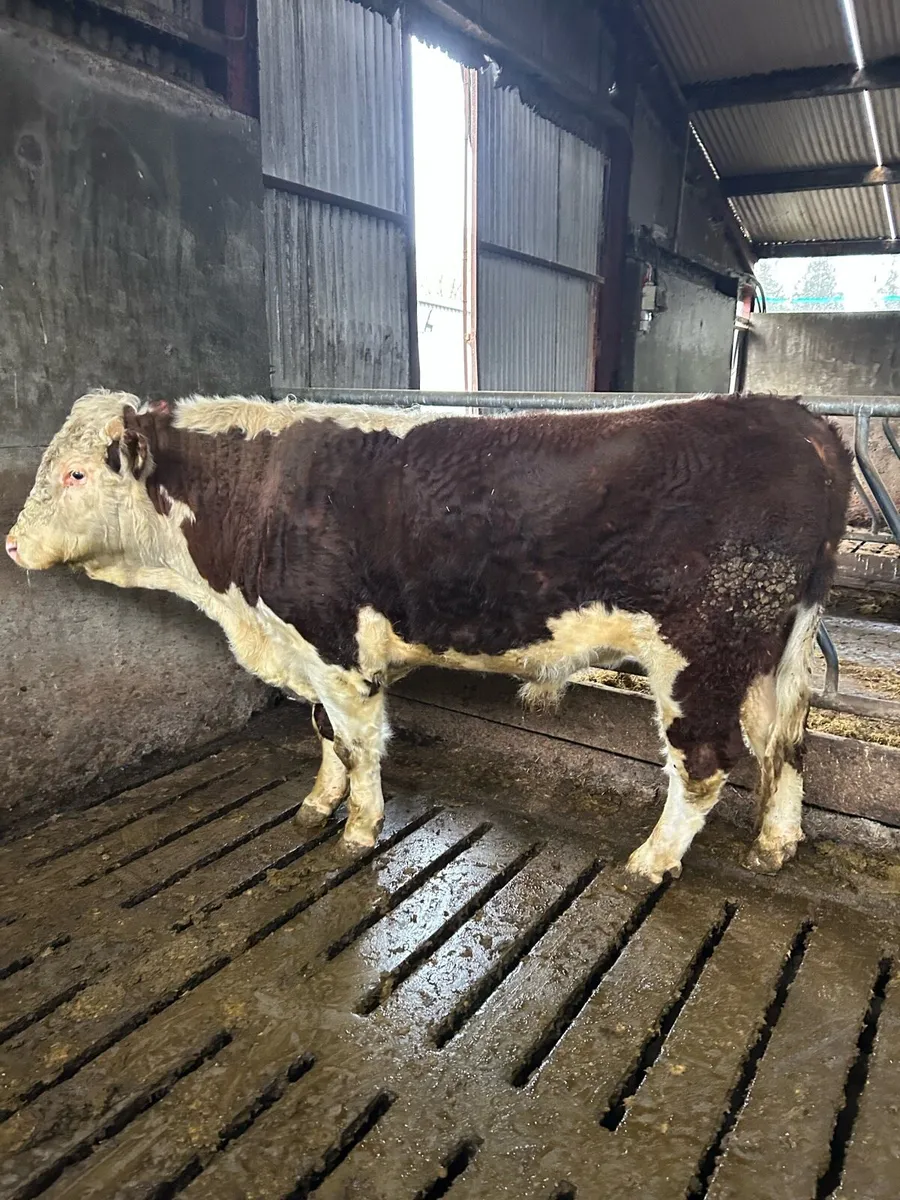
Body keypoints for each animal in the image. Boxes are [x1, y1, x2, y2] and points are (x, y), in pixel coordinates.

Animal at [6, 390, 851, 883]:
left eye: (77, 474)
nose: (12, 545)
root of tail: (797, 417)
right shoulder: (309, 649)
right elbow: (323, 733)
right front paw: (318, 803)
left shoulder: (337, 646)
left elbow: (357, 742)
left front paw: (358, 828)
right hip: (776, 654)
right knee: (786, 743)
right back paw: (775, 843)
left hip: (701, 654)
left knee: (705, 766)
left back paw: (651, 861)